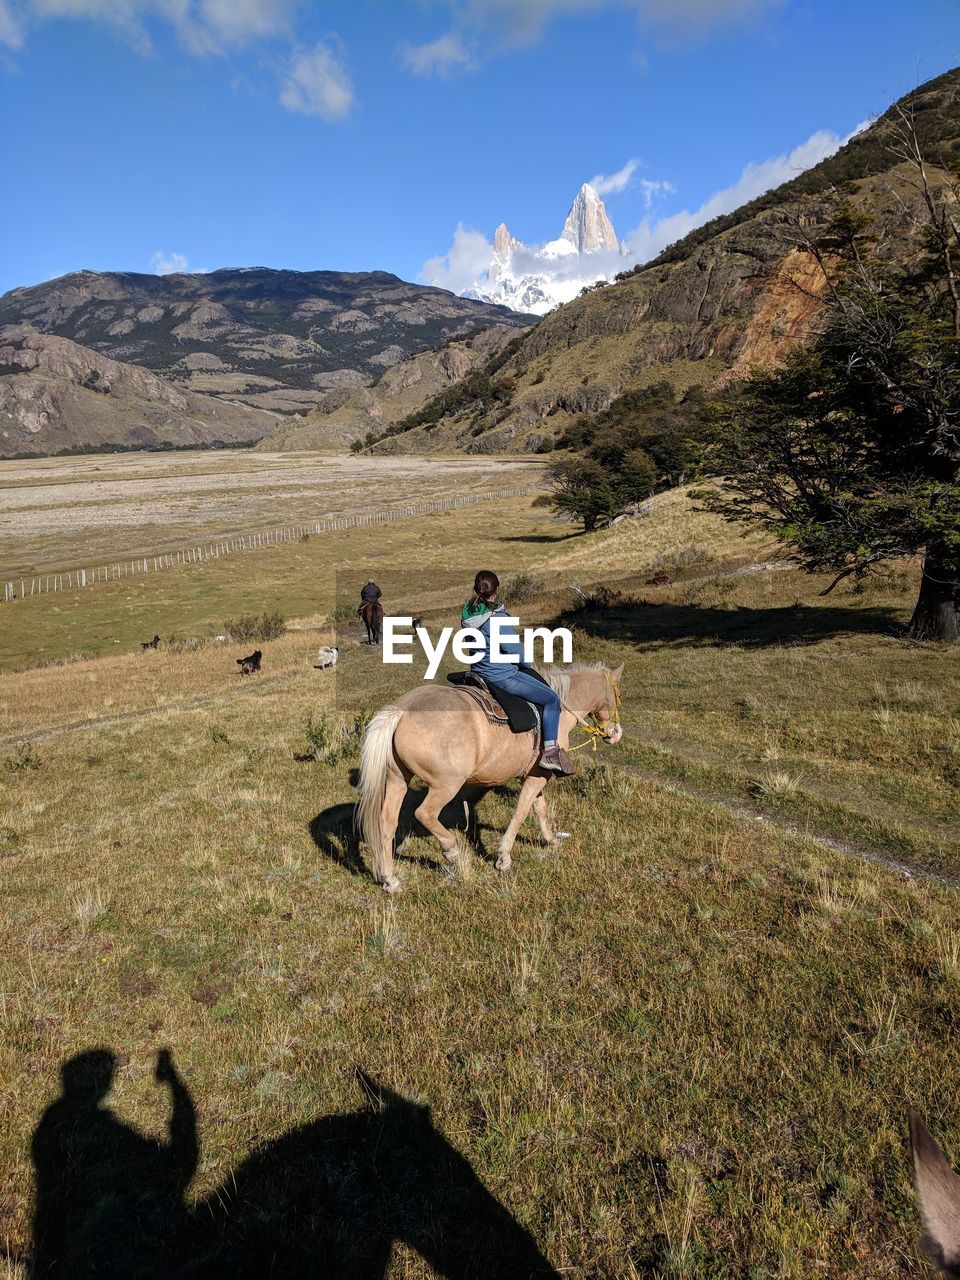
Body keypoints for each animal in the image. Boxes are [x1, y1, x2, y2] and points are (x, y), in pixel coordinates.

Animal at [355, 665, 624, 896]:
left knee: (386, 823)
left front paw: (550, 839)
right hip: (446, 785)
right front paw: (504, 857)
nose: (616, 734)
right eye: (617, 695)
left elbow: (540, 808)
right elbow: (521, 812)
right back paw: (452, 852)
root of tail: (402, 710)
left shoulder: (537, 775)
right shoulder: (538, 777)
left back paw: (390, 880)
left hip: (398, 779)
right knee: (425, 814)